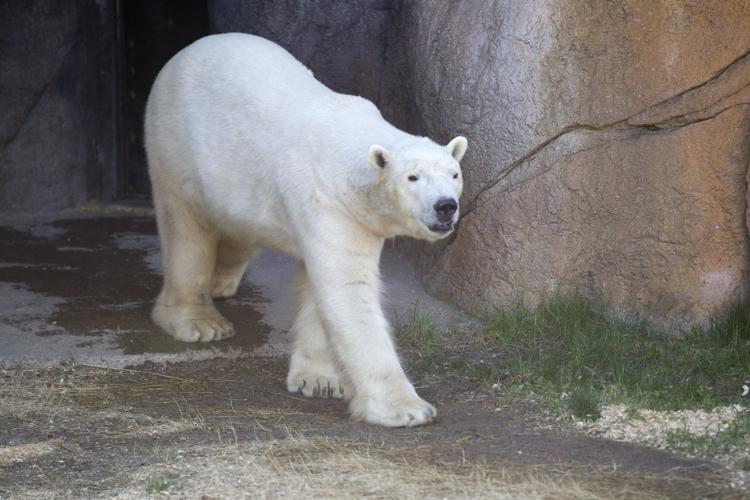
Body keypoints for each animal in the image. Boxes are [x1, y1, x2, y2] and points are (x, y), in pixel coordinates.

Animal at [144, 33, 467, 427]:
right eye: (413, 177)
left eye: (454, 173)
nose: (445, 206)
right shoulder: (328, 200)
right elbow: (347, 288)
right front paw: (406, 408)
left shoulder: (350, 215)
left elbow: (319, 288)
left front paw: (319, 380)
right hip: (174, 146)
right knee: (186, 230)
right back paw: (201, 322)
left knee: (239, 230)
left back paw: (221, 281)